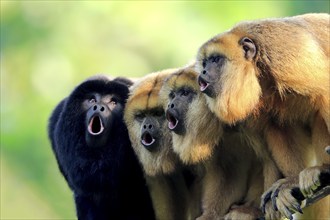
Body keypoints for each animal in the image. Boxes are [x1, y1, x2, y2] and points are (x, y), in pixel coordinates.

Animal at [159, 64, 266, 219]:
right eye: (172, 95)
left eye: (185, 93)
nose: (170, 105)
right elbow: (228, 171)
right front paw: (211, 214)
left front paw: (249, 210)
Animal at [196, 12, 330, 219]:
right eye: (204, 62)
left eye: (216, 60)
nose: (202, 72)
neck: (258, 66)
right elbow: (275, 125)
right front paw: (292, 180)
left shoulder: (287, 52)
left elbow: (325, 89)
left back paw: (323, 168)